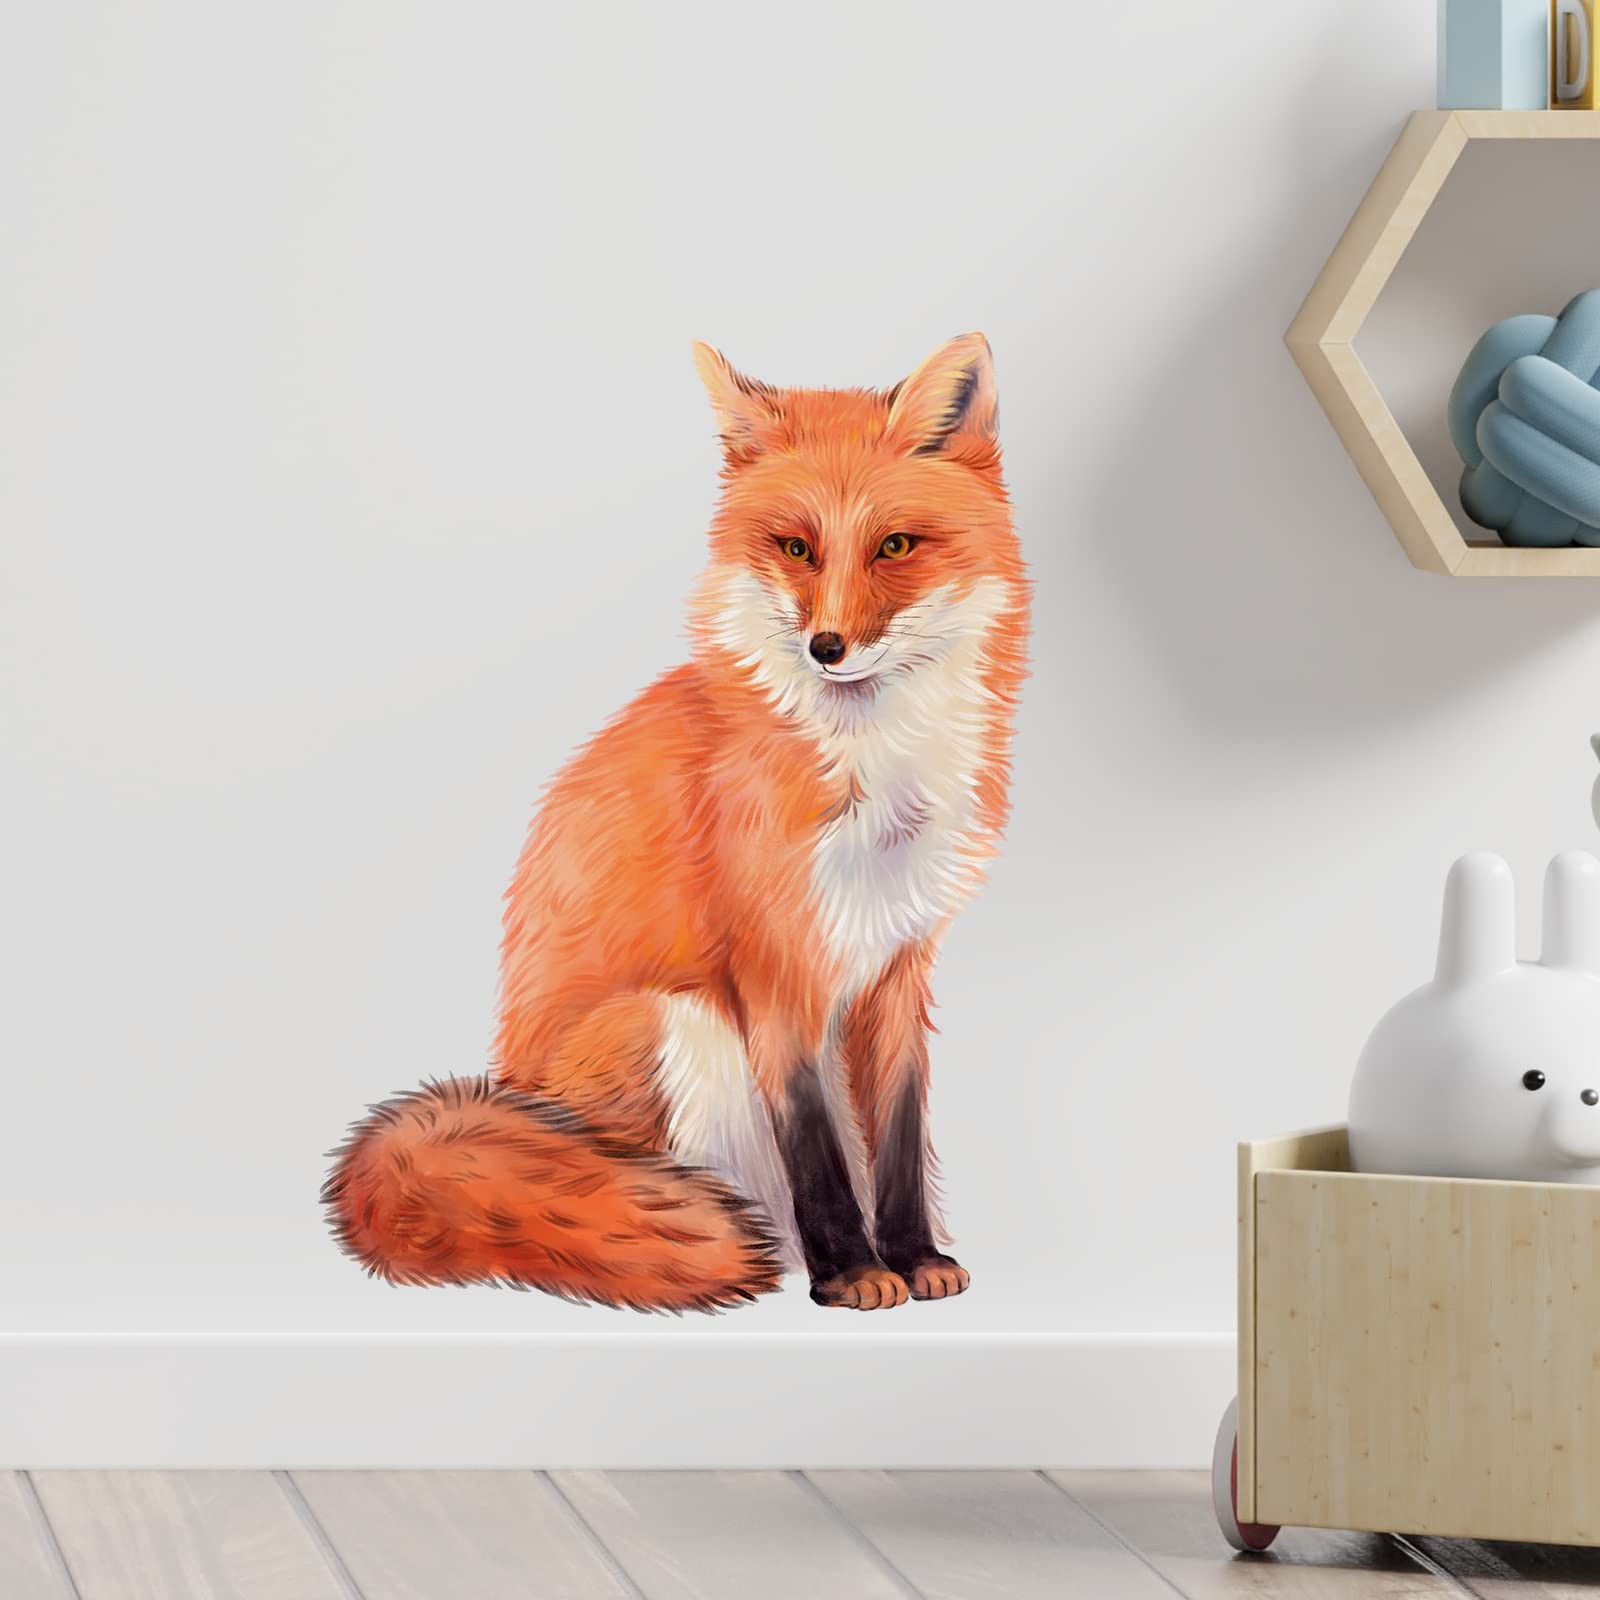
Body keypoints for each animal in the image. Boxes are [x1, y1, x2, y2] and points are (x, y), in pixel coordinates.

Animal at [322, 332, 1030, 1312]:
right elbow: (815, 1145)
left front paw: (916, 1257)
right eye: (796, 547)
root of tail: (506, 1088)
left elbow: (896, 1137)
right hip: (673, 1022)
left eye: (894, 546)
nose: (827, 648)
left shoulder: (898, 962)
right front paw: (851, 1270)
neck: (873, 778)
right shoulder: (776, 966)